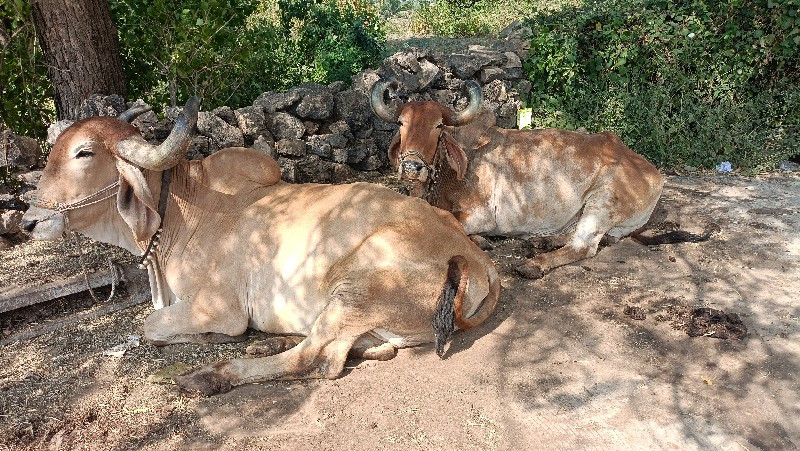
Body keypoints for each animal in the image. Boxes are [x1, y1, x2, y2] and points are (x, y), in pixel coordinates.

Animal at [23, 99, 500, 396]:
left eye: (84, 153)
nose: (29, 220)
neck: (182, 211)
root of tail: (477, 260)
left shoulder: (219, 308)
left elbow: (151, 327)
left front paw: (209, 343)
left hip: (357, 287)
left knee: (317, 360)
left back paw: (213, 375)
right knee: (351, 348)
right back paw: (268, 343)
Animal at [372, 81, 664, 278]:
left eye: (439, 125)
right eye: (401, 123)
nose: (412, 166)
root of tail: (653, 171)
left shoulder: (482, 215)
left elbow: (451, 223)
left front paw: (480, 241)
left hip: (602, 200)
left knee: (583, 246)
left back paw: (533, 263)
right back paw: (539, 242)